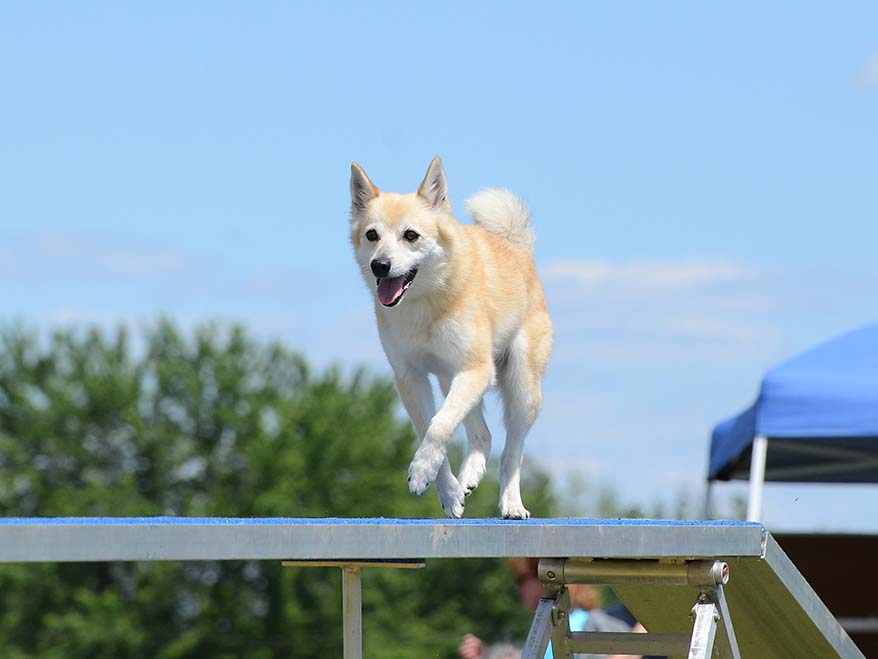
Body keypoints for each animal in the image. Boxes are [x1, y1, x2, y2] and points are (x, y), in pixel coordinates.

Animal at [348, 157, 552, 520]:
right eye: (372, 235)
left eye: (410, 235)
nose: (379, 266)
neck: (425, 301)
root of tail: (518, 250)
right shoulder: (411, 379)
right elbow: (429, 429)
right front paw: (447, 491)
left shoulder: (474, 369)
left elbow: (439, 427)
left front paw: (420, 472)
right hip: (451, 380)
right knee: (482, 434)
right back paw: (469, 477)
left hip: (520, 389)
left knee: (512, 452)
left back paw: (512, 504)